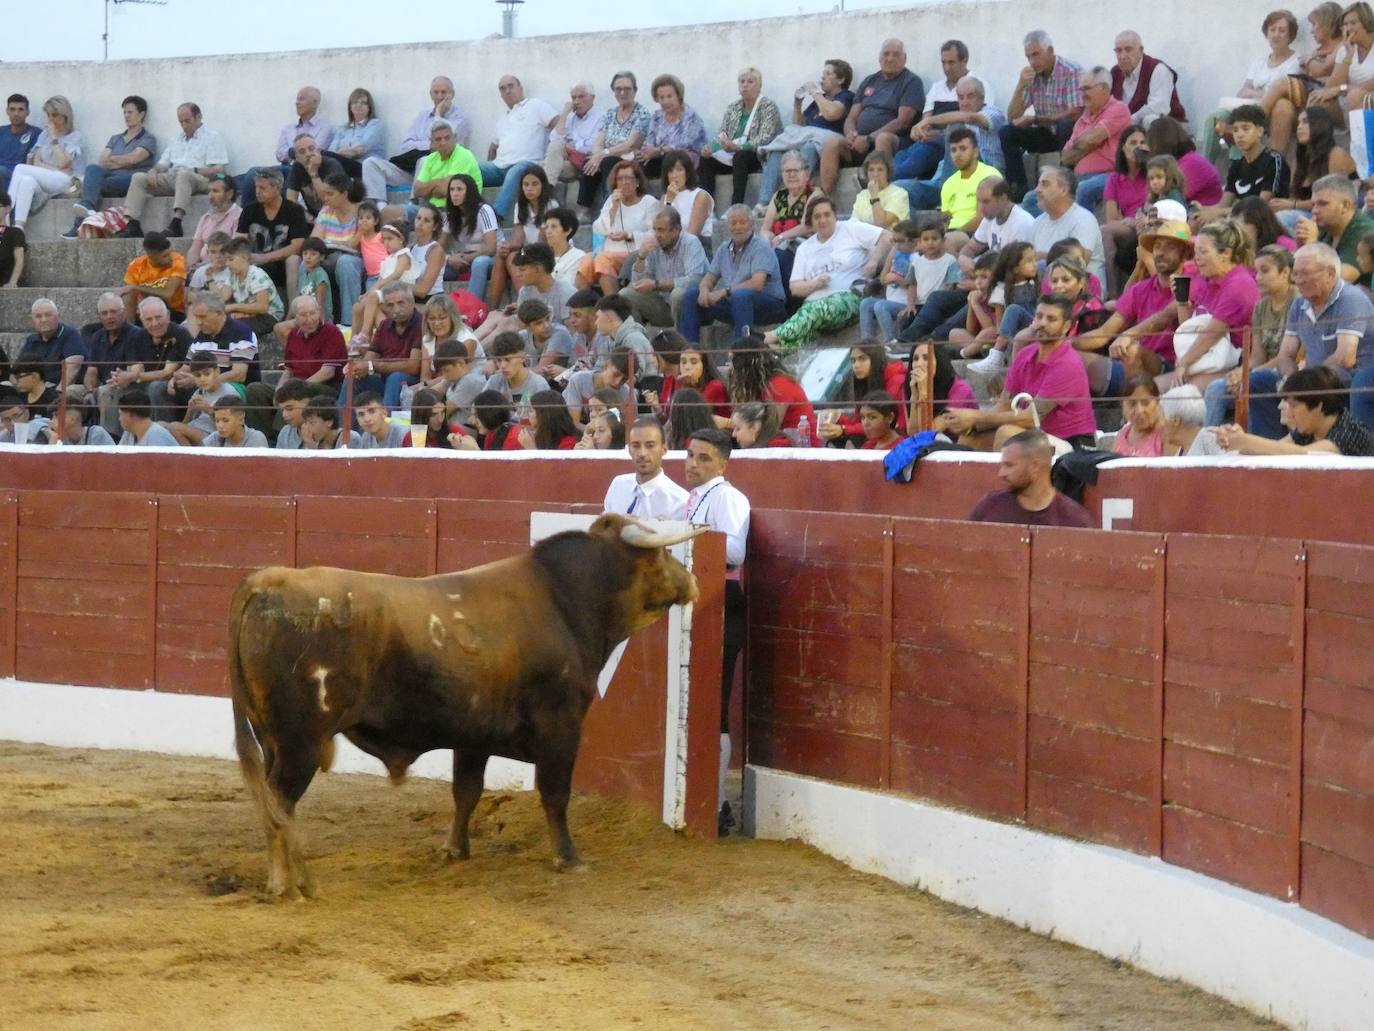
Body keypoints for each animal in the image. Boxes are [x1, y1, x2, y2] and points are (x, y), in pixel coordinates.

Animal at [226, 514, 703, 896]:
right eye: (662, 555)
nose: (692, 582)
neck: (563, 600)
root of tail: (267, 581)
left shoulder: (474, 735)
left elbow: (467, 792)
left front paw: (454, 850)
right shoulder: (561, 726)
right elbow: (554, 794)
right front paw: (569, 858)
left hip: (273, 739)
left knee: (271, 800)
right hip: (300, 743)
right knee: (279, 802)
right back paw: (288, 884)